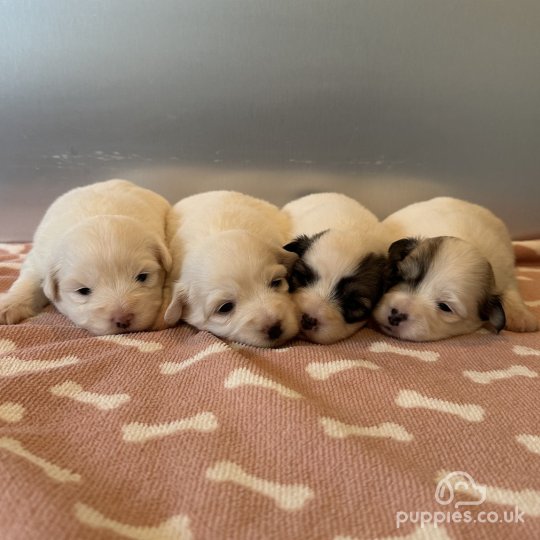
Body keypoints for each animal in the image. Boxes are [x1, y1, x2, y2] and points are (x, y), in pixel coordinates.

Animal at [0, 179, 172, 336]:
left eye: (142, 277)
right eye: (83, 291)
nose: (123, 319)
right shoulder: (38, 260)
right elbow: (28, 283)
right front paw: (7, 305)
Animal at [374, 197, 536, 342]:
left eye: (445, 307)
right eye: (399, 278)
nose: (395, 315)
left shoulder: (506, 269)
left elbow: (510, 289)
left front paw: (522, 317)